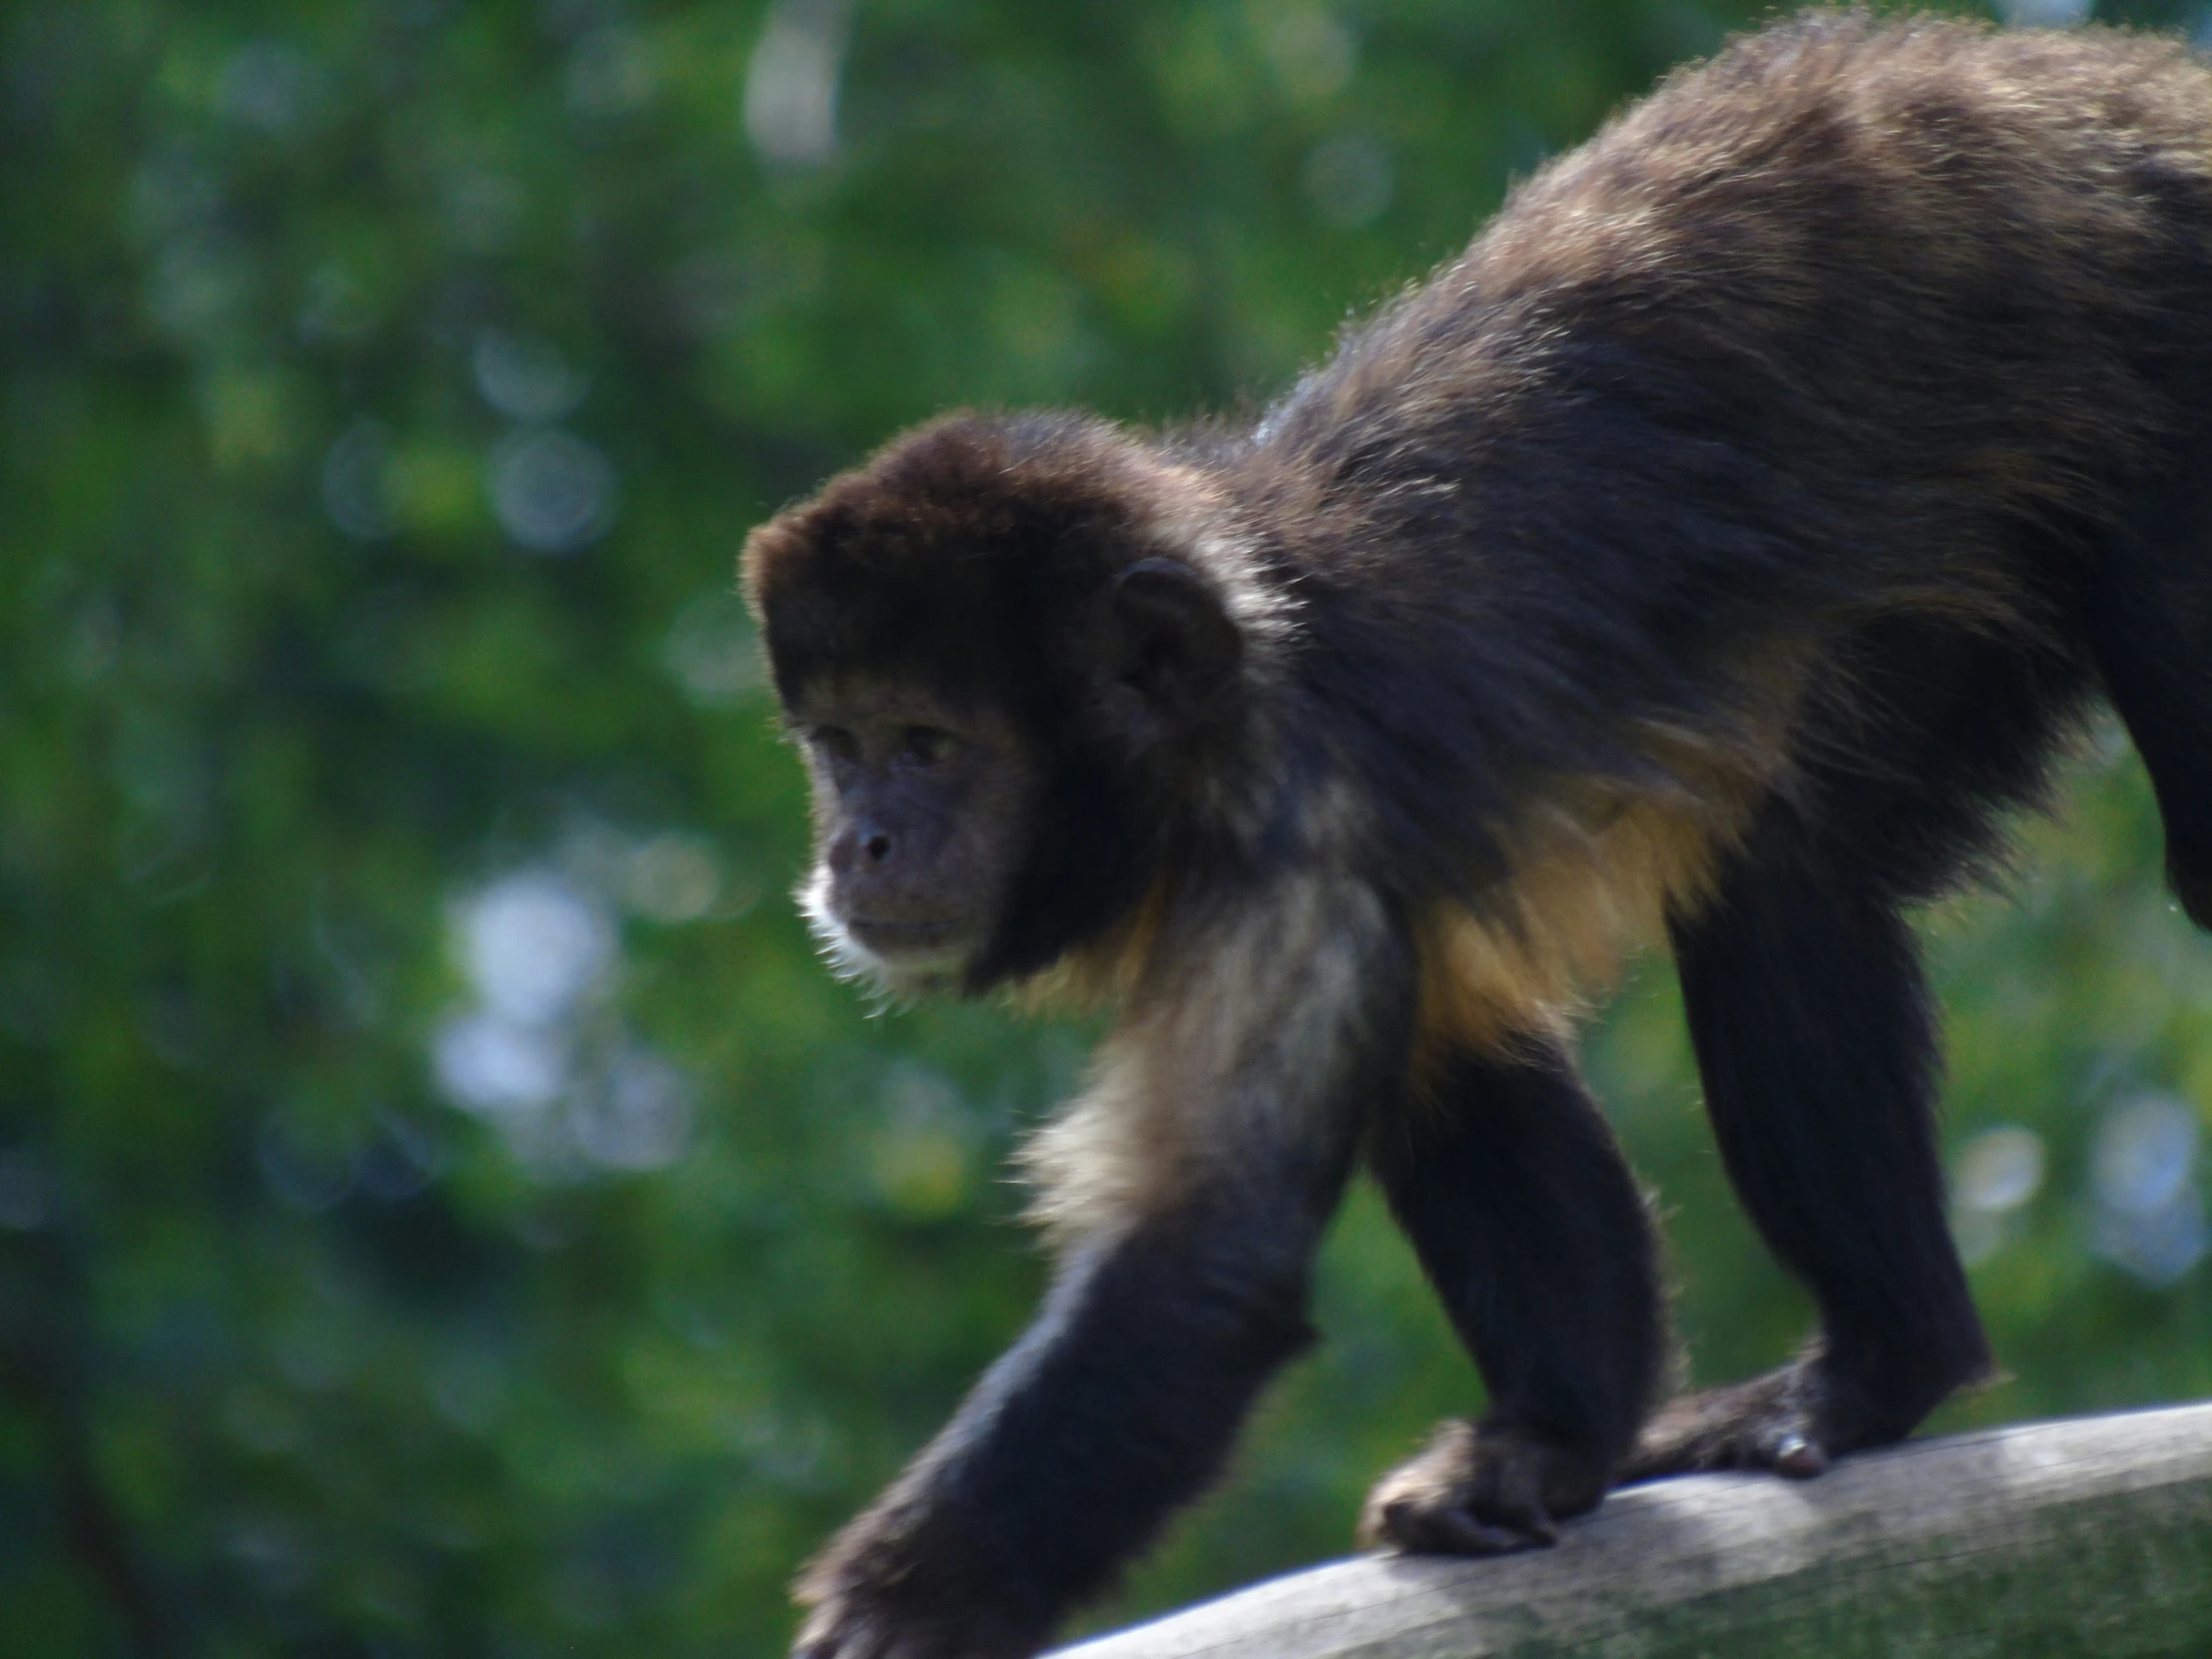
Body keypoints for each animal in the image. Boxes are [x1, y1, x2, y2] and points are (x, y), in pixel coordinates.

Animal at [739, 16, 2212, 1659]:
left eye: (928, 747)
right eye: (839, 745)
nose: (861, 843)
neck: (1234, 696)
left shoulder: (1295, 834)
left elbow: (1206, 1259)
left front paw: (904, 1605)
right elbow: (1463, 1068)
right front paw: (1550, 1447)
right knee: (1787, 873)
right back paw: (1891, 1365)